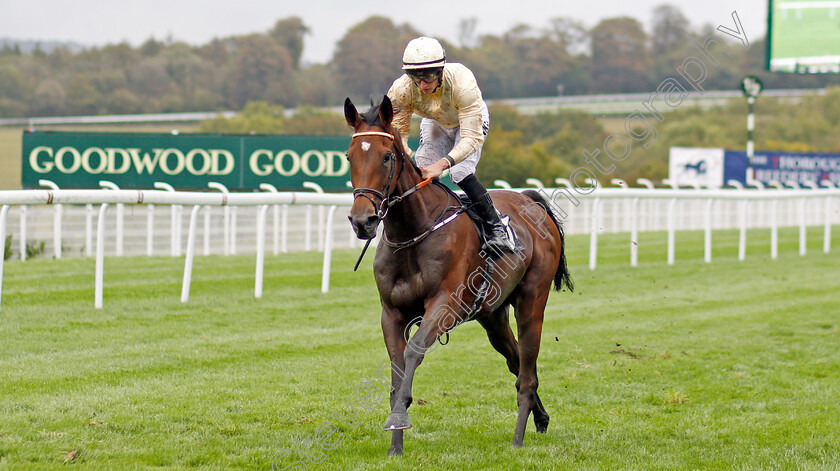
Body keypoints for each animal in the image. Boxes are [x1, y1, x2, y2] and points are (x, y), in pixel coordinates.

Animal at [344, 94, 576, 456]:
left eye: (386, 156)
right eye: (349, 156)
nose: (362, 220)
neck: (414, 230)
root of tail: (530, 201)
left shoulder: (444, 306)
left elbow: (413, 352)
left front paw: (400, 417)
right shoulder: (391, 313)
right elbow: (397, 367)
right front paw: (395, 443)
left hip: (531, 301)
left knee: (527, 370)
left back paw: (518, 438)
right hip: (492, 315)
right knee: (515, 360)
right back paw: (541, 418)